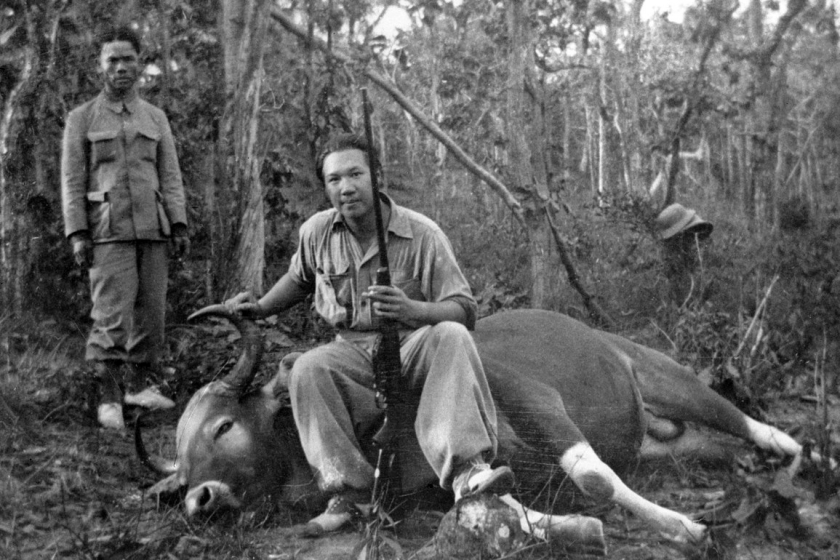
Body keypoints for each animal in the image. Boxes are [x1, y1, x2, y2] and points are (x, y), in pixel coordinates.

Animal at [136, 306, 815, 549]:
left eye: (224, 426)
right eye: (182, 456)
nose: (196, 497)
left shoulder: (533, 399)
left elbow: (592, 477)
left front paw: (685, 529)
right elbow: (488, 504)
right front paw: (580, 528)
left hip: (662, 371)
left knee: (739, 416)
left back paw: (798, 459)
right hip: (666, 444)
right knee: (713, 446)